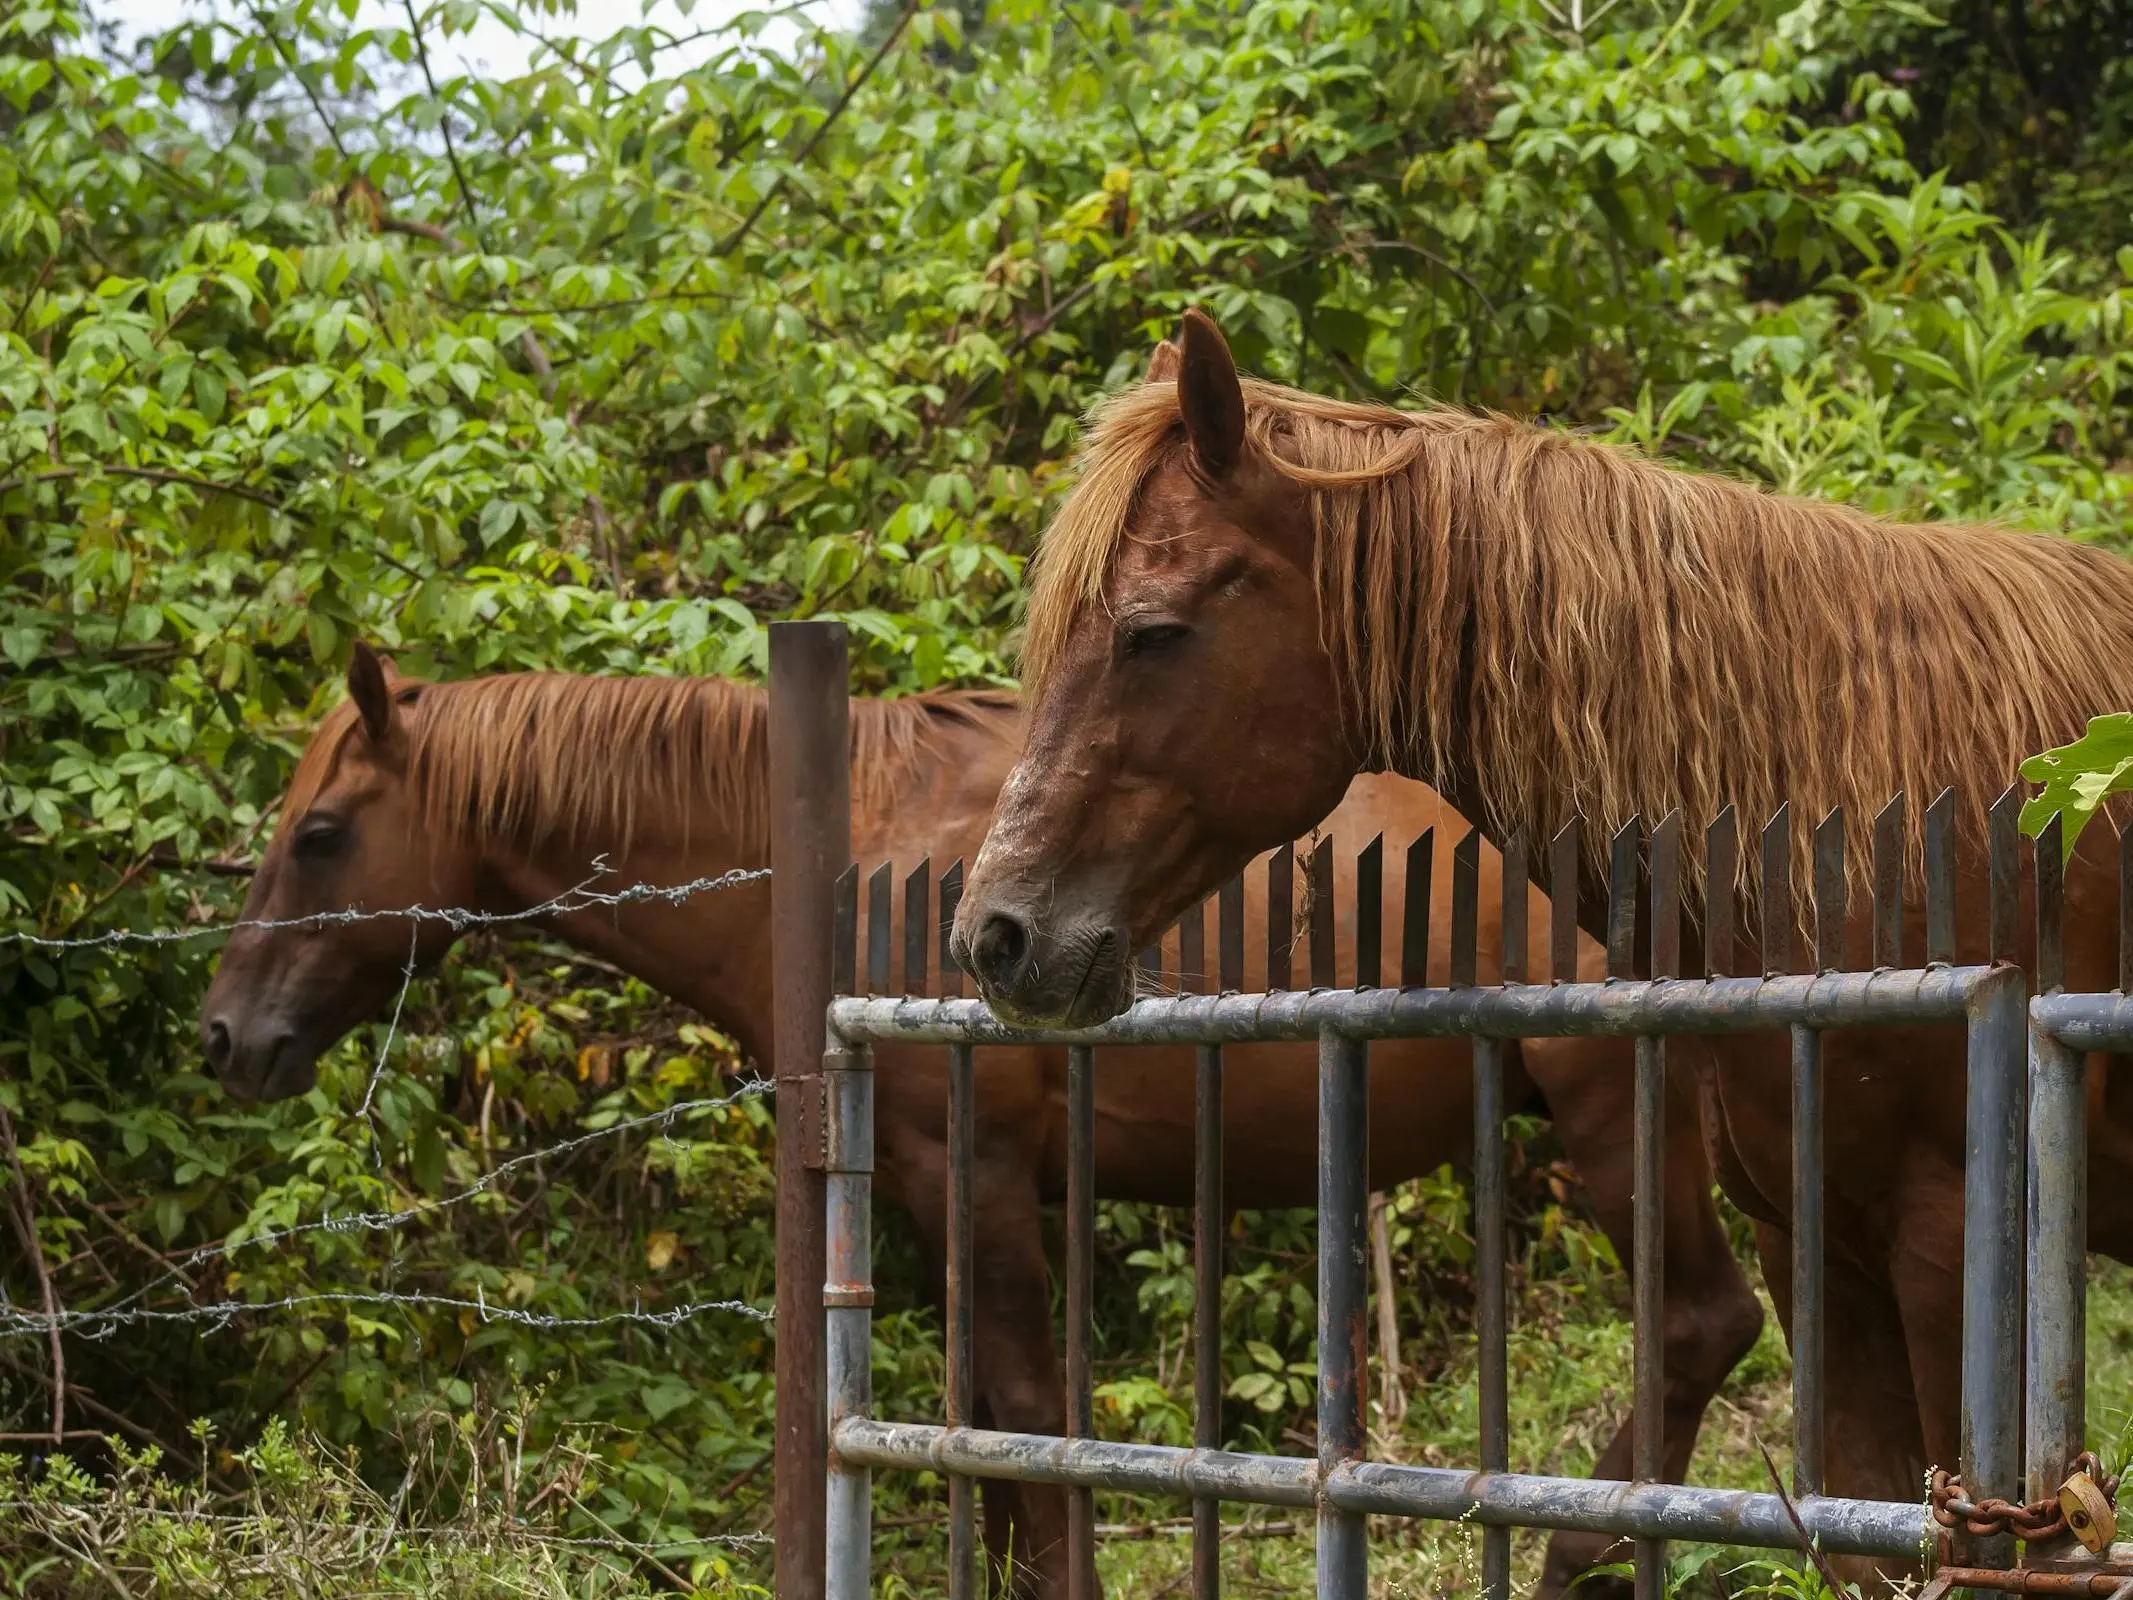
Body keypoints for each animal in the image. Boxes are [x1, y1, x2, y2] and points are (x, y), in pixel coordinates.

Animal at [203, 644, 1766, 1595]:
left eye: (322, 835)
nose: (227, 1036)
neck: (841, 863)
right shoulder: (918, 1190)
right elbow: (987, 1433)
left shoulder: (983, 1172)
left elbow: (1024, 1415)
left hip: (1614, 1110)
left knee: (1702, 1322)